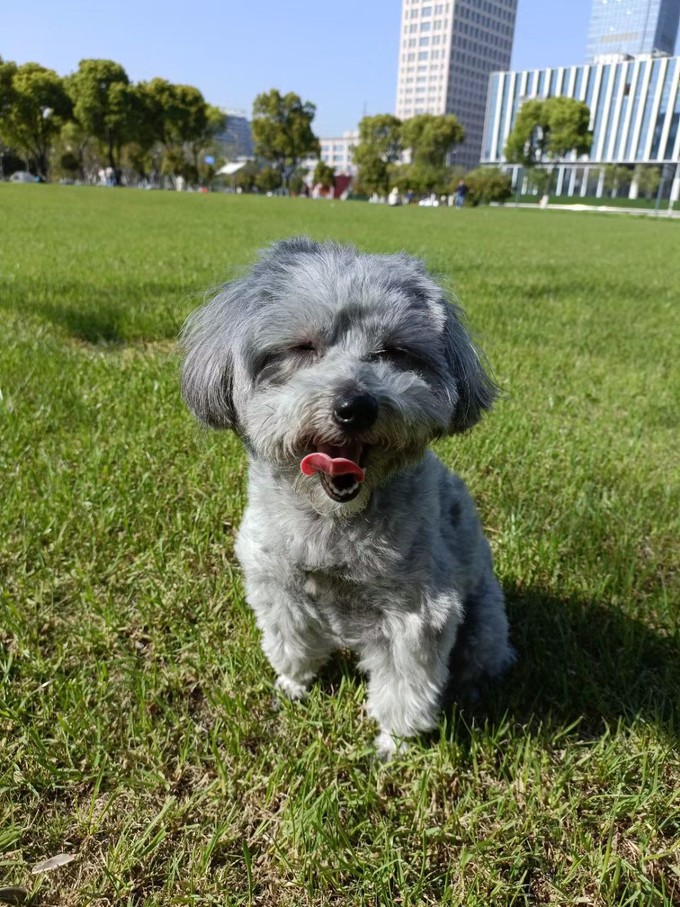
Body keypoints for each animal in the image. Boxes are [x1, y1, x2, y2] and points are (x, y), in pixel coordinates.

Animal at [178, 236, 512, 760]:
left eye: (393, 350)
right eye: (302, 347)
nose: (355, 406)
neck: (332, 522)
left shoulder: (417, 613)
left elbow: (405, 686)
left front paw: (395, 743)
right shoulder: (276, 586)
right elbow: (291, 643)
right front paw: (293, 685)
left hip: (484, 624)